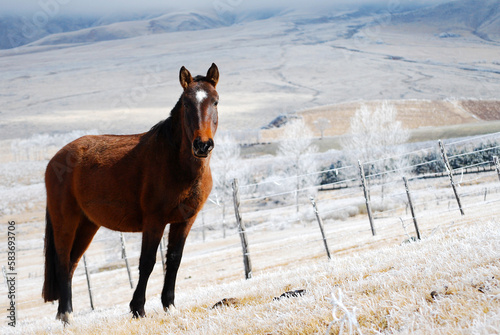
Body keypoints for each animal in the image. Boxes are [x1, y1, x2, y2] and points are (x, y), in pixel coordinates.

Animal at [44, 63, 220, 322]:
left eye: (215, 101)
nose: (202, 145)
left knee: (72, 263)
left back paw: (64, 315)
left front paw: (169, 305)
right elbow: (147, 262)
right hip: (66, 222)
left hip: (87, 225)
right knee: (63, 261)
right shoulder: (154, 221)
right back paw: (66, 314)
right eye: (187, 103)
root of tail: (56, 159)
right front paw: (138, 308)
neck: (174, 162)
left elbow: (174, 260)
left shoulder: (185, 220)